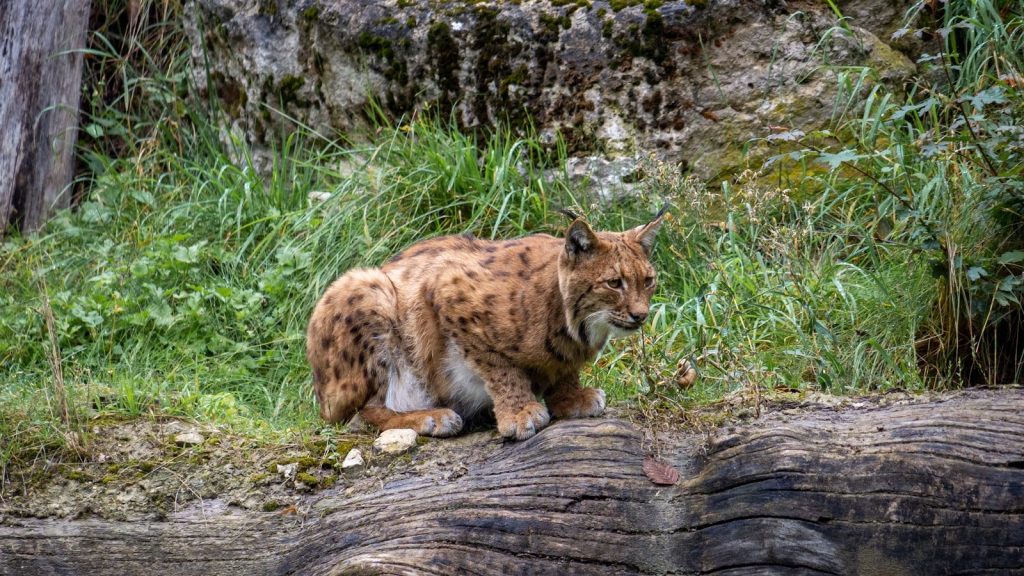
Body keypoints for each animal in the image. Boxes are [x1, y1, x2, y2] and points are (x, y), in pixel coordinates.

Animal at [306, 211, 665, 441]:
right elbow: (499, 367)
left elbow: (563, 368)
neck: (568, 317)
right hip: (367, 286)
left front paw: (570, 396)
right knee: (359, 414)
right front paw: (519, 412)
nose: (641, 315)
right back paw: (428, 416)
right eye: (614, 283)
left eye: (648, 281)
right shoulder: (445, 289)